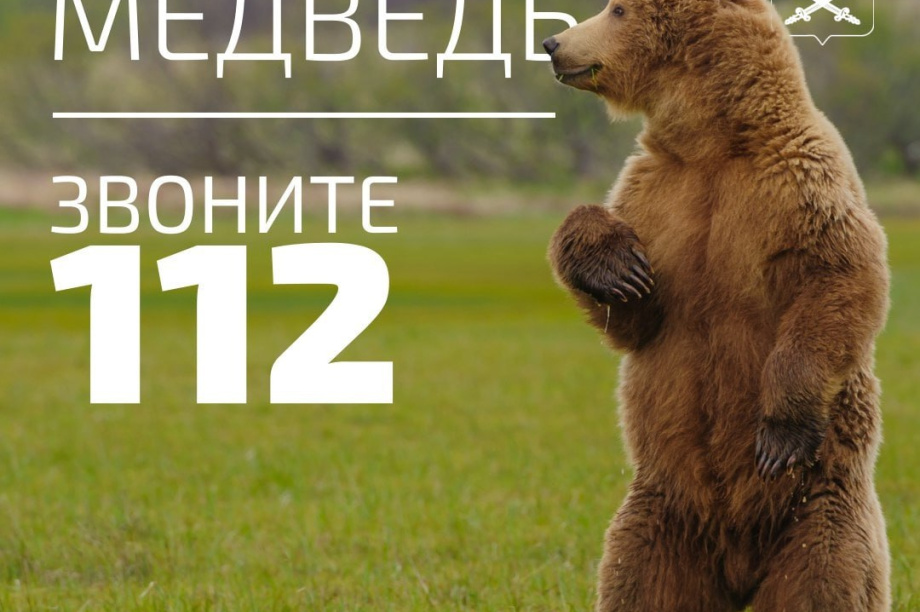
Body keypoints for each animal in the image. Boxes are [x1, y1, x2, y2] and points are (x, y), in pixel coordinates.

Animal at [542, 0, 891, 610]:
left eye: (616, 9)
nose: (553, 43)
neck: (715, 143)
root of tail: (739, 562)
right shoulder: (656, 195)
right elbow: (636, 319)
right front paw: (616, 268)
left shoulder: (799, 181)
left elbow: (838, 279)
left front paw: (780, 434)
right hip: (664, 513)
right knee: (639, 580)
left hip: (817, 506)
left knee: (824, 576)